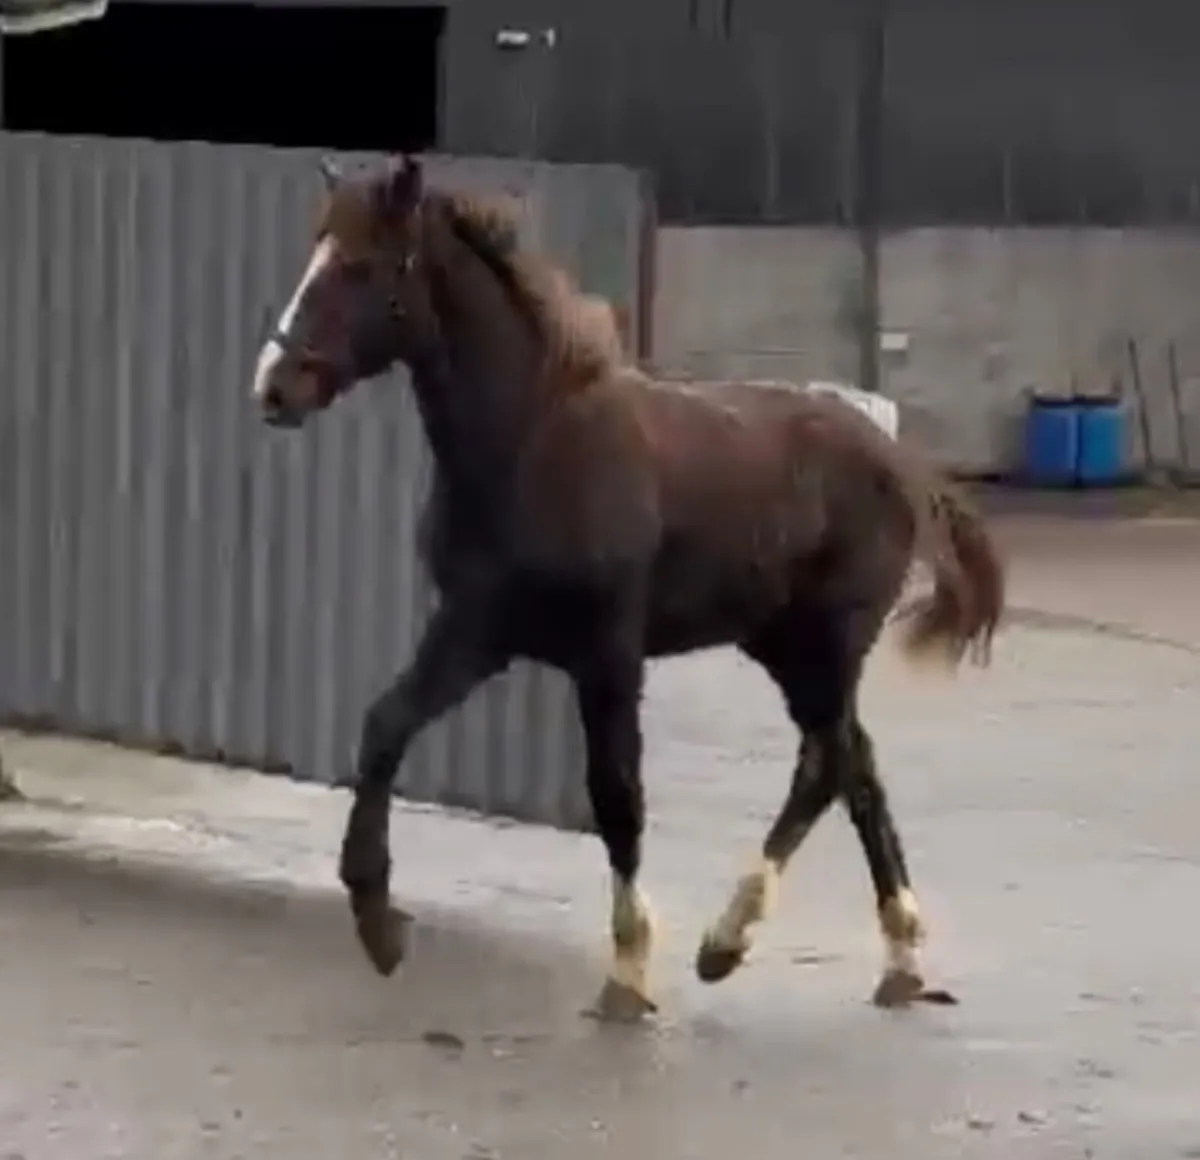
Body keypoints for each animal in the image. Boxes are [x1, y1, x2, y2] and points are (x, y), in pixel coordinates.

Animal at [250, 154, 1005, 1022]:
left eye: (362, 266)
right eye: (318, 251)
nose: (274, 386)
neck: (534, 444)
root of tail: (894, 457)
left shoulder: (607, 652)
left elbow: (616, 793)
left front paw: (630, 969)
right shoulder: (477, 630)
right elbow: (385, 725)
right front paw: (378, 925)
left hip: (826, 643)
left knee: (828, 763)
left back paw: (731, 942)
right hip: (782, 647)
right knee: (857, 765)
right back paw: (896, 958)